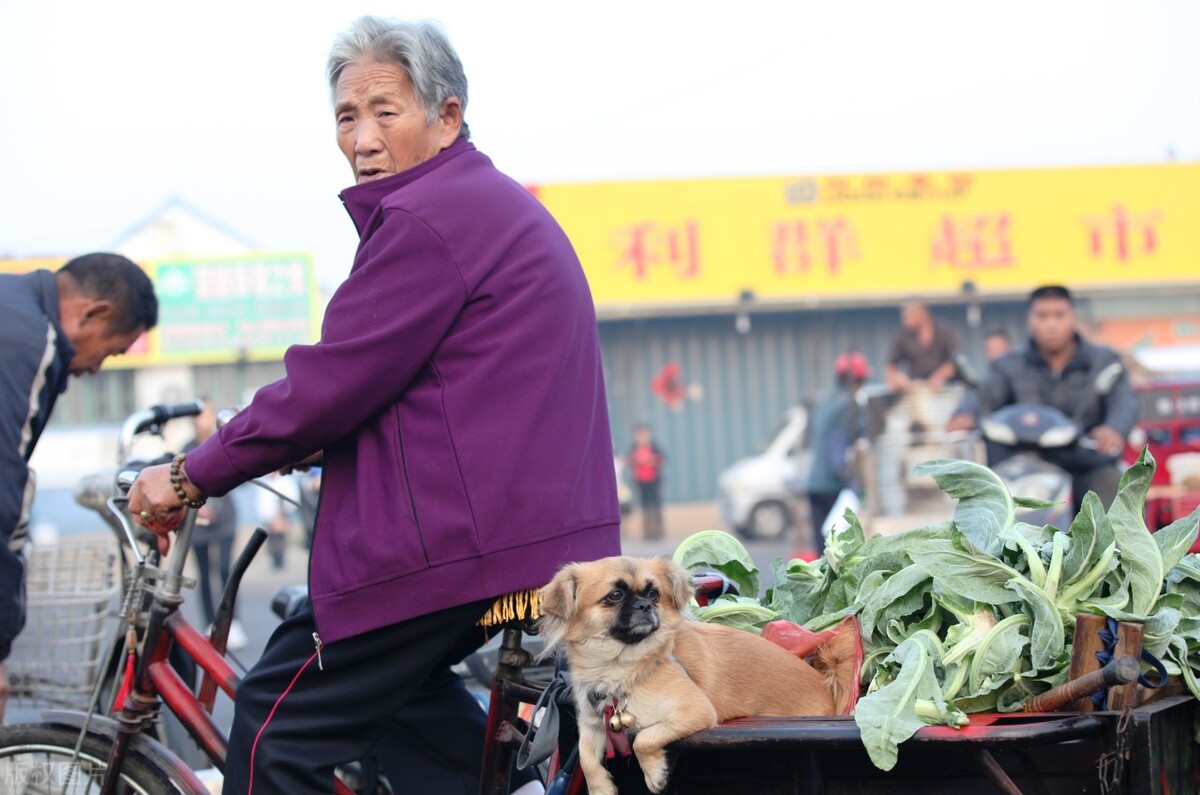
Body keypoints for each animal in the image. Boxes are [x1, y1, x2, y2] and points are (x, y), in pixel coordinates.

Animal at [540, 557, 859, 795]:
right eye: (615, 596)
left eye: (654, 594)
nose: (645, 605)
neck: (621, 669)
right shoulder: (592, 722)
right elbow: (585, 756)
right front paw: (601, 788)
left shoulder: (696, 713)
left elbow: (643, 737)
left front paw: (655, 774)